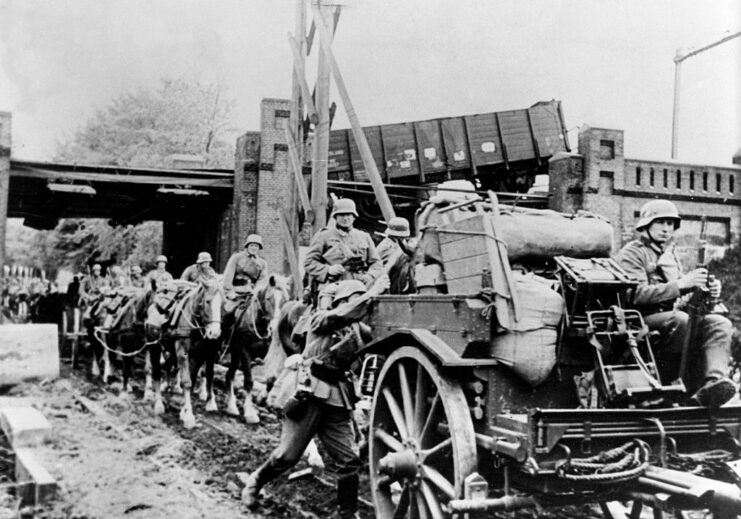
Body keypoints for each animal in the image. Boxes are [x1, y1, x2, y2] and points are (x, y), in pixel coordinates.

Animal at [145, 278, 223, 428]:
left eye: (222, 303)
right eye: (207, 301)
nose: (215, 333)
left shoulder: (199, 356)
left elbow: (192, 380)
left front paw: (184, 411)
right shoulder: (182, 354)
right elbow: (187, 382)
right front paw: (189, 417)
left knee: (166, 367)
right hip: (154, 347)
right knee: (156, 372)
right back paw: (158, 403)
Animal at [225, 274, 292, 424]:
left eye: (285, 299)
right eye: (269, 298)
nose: (274, 326)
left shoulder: (263, 355)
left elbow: (269, 379)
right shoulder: (244, 351)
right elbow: (249, 381)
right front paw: (250, 413)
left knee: (229, 375)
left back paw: (231, 407)